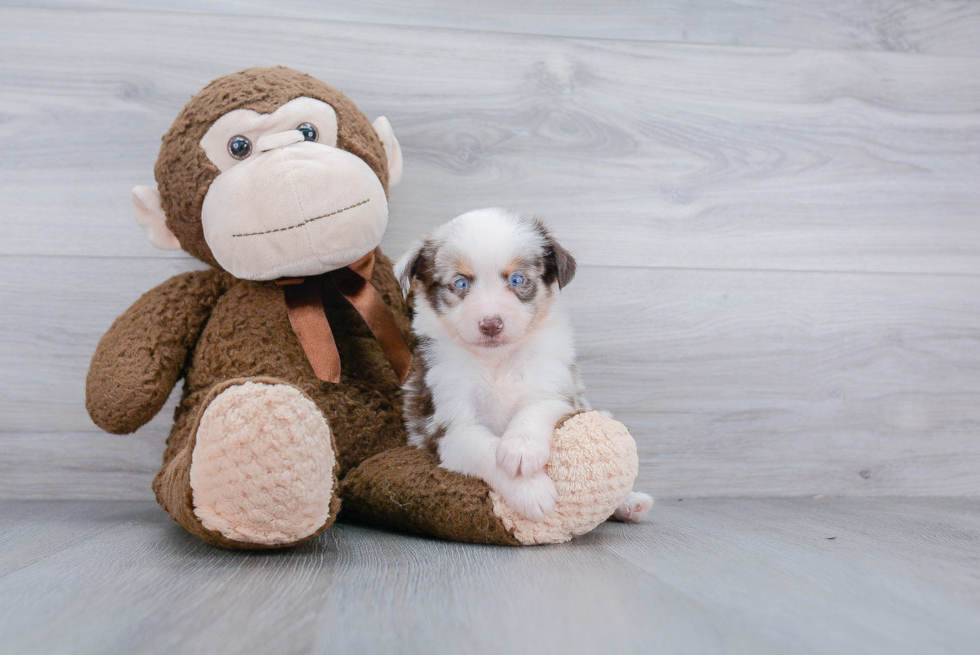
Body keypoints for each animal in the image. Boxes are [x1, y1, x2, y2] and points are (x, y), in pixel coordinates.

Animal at [394, 210, 656, 524]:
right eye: (460, 283)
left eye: (517, 279)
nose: (491, 324)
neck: (497, 362)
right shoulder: (446, 424)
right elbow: (484, 448)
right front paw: (531, 491)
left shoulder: (555, 388)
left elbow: (535, 409)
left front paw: (521, 448)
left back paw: (630, 503)